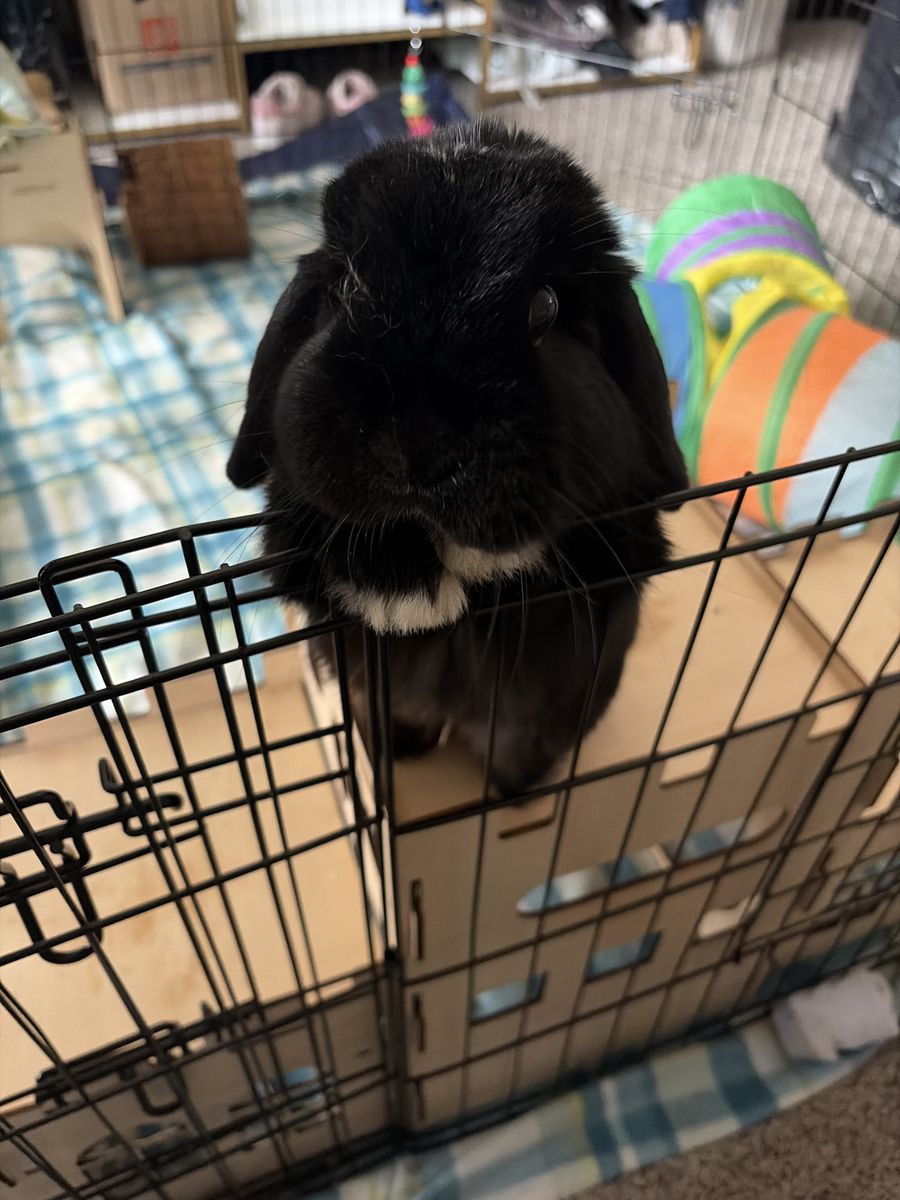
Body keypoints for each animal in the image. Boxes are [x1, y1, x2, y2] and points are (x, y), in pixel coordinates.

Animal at [227, 121, 687, 796]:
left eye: (546, 306)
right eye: (346, 287)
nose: (418, 441)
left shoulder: (618, 535)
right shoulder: (293, 516)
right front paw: (404, 592)